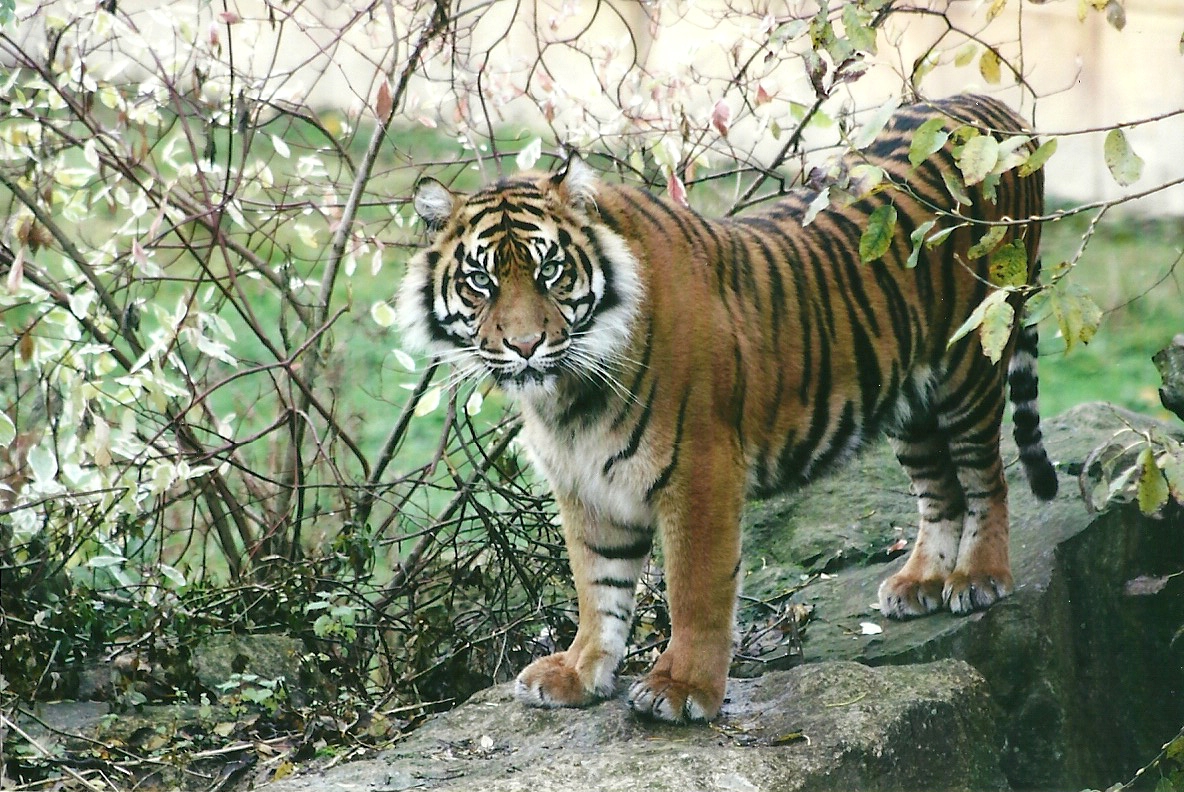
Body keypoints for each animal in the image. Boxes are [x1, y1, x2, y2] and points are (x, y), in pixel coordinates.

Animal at [395, 94, 1058, 724]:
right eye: (481, 281)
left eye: (550, 270)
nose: (525, 345)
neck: (567, 399)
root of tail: (995, 107)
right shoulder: (585, 486)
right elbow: (598, 587)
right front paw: (580, 673)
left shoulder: (699, 470)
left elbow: (696, 589)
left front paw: (681, 689)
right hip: (909, 401)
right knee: (939, 489)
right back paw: (921, 583)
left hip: (971, 366)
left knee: (986, 478)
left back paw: (979, 578)